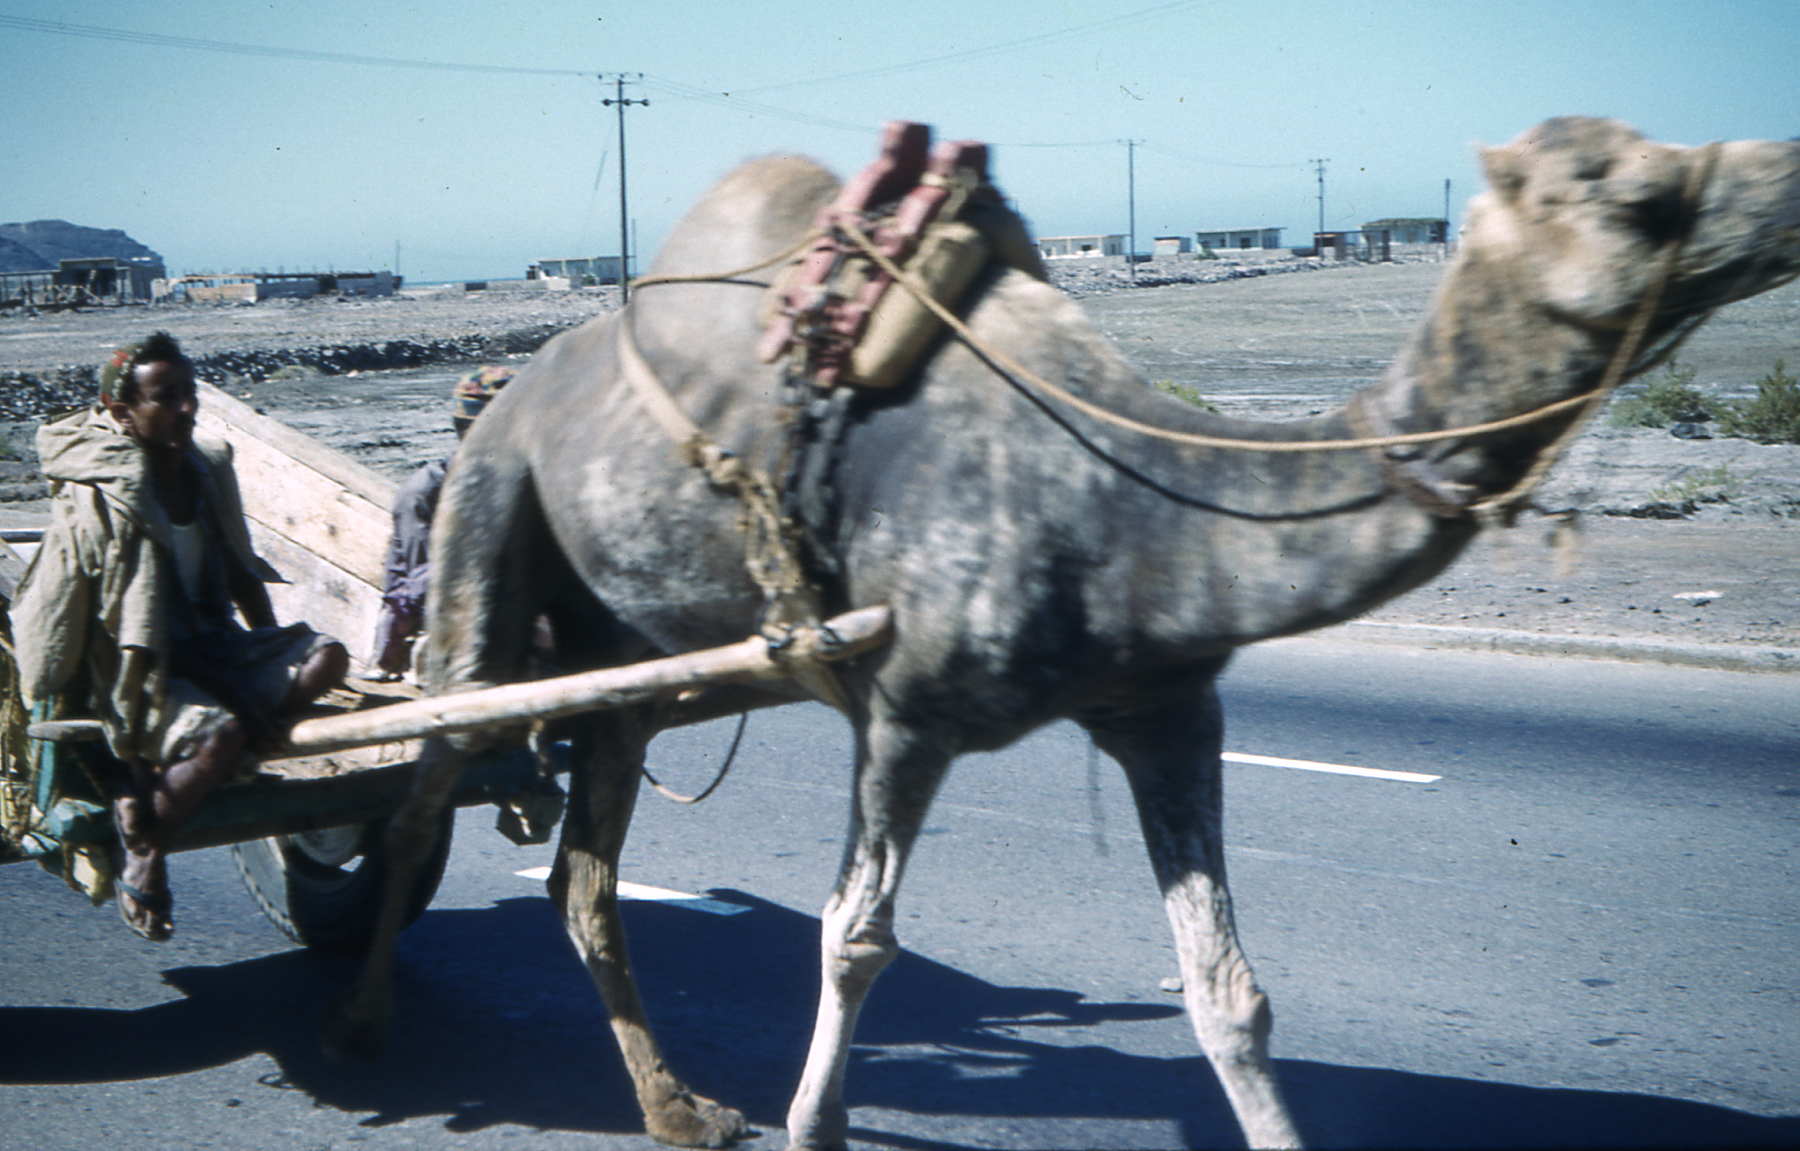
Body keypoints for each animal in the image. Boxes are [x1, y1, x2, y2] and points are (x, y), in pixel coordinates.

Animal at [331, 118, 1800, 1151]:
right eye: (1631, 192)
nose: (1783, 181)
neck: (1134, 506)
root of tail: (513, 392)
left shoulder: (1168, 707)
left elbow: (1228, 988)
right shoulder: (905, 711)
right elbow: (852, 937)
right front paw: (816, 1114)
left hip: (621, 662)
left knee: (582, 874)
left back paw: (679, 1106)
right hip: (488, 523)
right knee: (420, 781)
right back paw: (366, 1026)